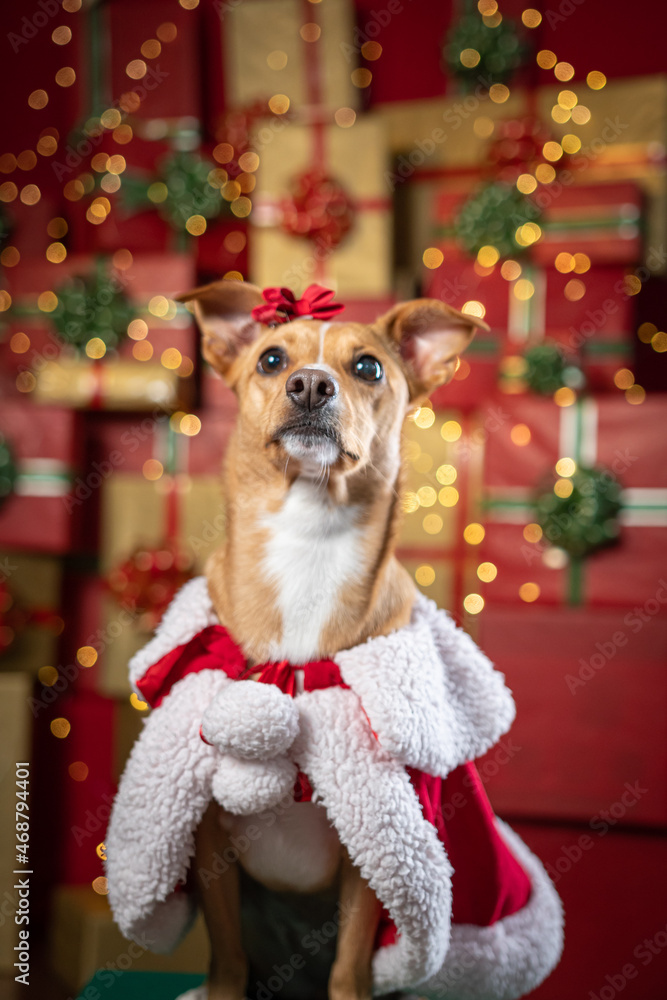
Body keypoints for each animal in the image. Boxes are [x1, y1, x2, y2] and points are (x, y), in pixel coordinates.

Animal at [180, 280, 488, 1000]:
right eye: (271, 360)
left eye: (368, 368)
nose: (312, 385)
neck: (308, 539)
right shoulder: (207, 845)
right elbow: (226, 953)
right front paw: (220, 991)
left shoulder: (374, 848)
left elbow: (350, 962)